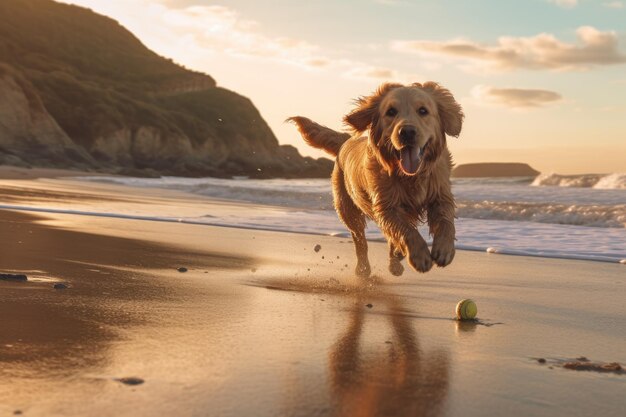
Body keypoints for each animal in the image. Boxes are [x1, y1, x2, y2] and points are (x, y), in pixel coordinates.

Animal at [290, 81, 460, 276]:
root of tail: (346, 141)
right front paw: (420, 256)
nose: (407, 132)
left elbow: (445, 221)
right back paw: (365, 268)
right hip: (347, 210)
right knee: (360, 241)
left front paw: (445, 249)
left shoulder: (440, 194)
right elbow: (406, 230)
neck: (410, 176)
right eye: (391, 111)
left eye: (423, 110)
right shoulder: (386, 206)